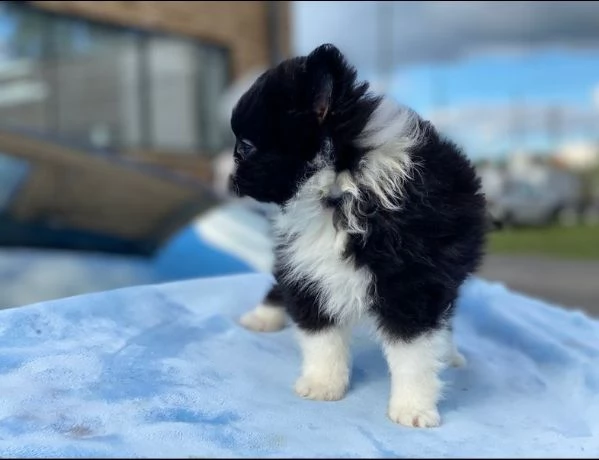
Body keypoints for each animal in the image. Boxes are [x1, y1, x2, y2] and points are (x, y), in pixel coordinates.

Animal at [229, 44, 488, 428]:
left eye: (245, 147)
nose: (230, 178)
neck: (343, 188)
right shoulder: (308, 269)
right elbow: (321, 337)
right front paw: (323, 385)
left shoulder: (413, 285)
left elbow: (413, 354)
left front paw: (413, 408)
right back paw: (263, 318)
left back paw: (449, 353)